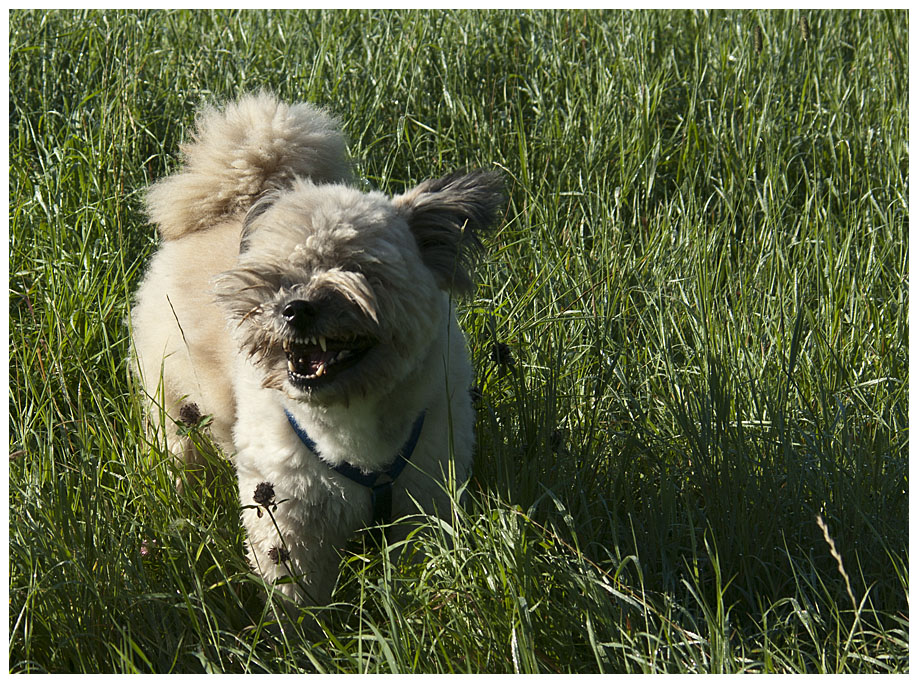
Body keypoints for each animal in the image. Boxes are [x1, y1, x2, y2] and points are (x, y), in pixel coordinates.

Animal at [131, 93, 504, 608]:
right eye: (277, 275)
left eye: (359, 270)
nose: (295, 308)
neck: (352, 422)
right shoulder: (290, 519)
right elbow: (296, 597)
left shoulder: (423, 498)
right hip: (176, 413)